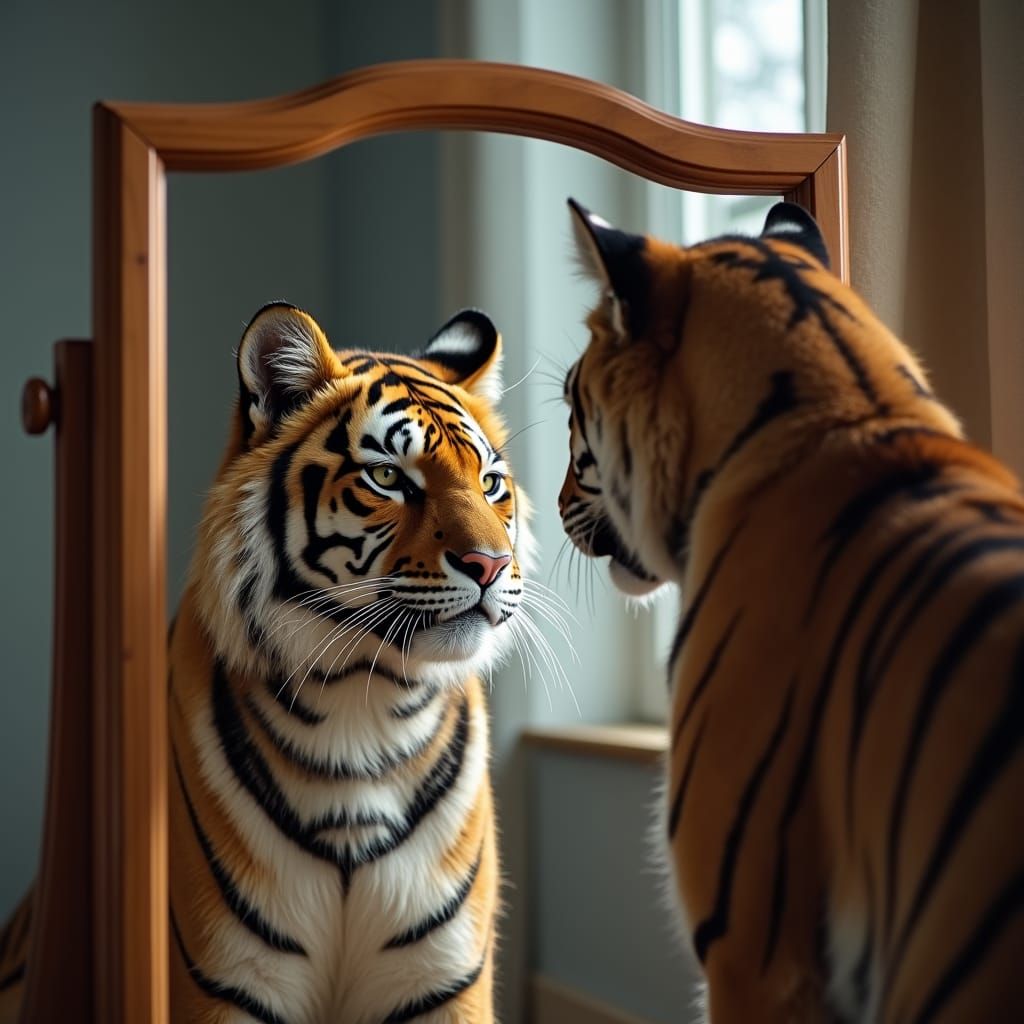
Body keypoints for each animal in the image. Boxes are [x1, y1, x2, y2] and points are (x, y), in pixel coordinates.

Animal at [1, 301, 536, 1024]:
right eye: (388, 477)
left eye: (490, 483)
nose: (491, 565)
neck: (365, 704)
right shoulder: (224, 980)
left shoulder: (444, 980)